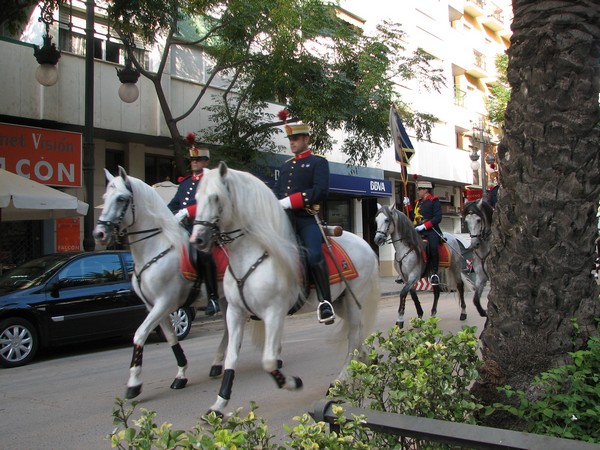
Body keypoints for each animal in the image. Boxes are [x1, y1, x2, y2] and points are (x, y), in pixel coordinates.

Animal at [92, 167, 229, 400]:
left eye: (121, 199)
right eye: (104, 197)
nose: (99, 234)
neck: (154, 250)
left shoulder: (165, 303)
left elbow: (139, 334)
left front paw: (134, 383)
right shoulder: (154, 306)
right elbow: (171, 338)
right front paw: (181, 374)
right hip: (224, 297)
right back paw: (217, 364)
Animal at [191, 161, 380, 414]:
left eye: (216, 198)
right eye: (196, 198)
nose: (198, 239)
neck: (250, 256)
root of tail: (364, 244)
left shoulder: (274, 313)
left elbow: (269, 361)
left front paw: (293, 382)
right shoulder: (235, 312)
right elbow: (231, 358)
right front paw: (219, 405)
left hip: (353, 300)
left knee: (353, 337)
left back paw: (341, 380)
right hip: (340, 302)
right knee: (357, 337)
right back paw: (366, 363)